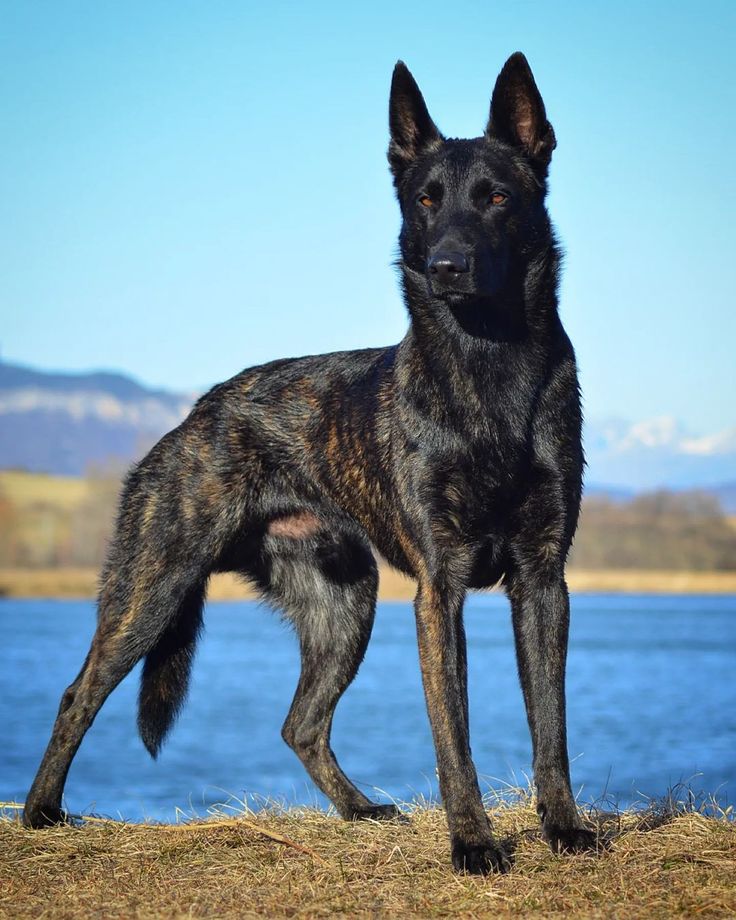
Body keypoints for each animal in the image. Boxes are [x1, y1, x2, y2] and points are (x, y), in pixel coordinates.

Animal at [24, 54, 600, 872]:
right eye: (426, 200)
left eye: (496, 197)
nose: (446, 266)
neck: (489, 370)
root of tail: (198, 413)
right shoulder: (440, 590)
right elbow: (453, 738)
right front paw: (472, 842)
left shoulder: (544, 580)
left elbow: (550, 724)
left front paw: (565, 828)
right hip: (154, 588)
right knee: (80, 694)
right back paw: (41, 813)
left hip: (345, 604)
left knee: (300, 724)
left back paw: (359, 810)